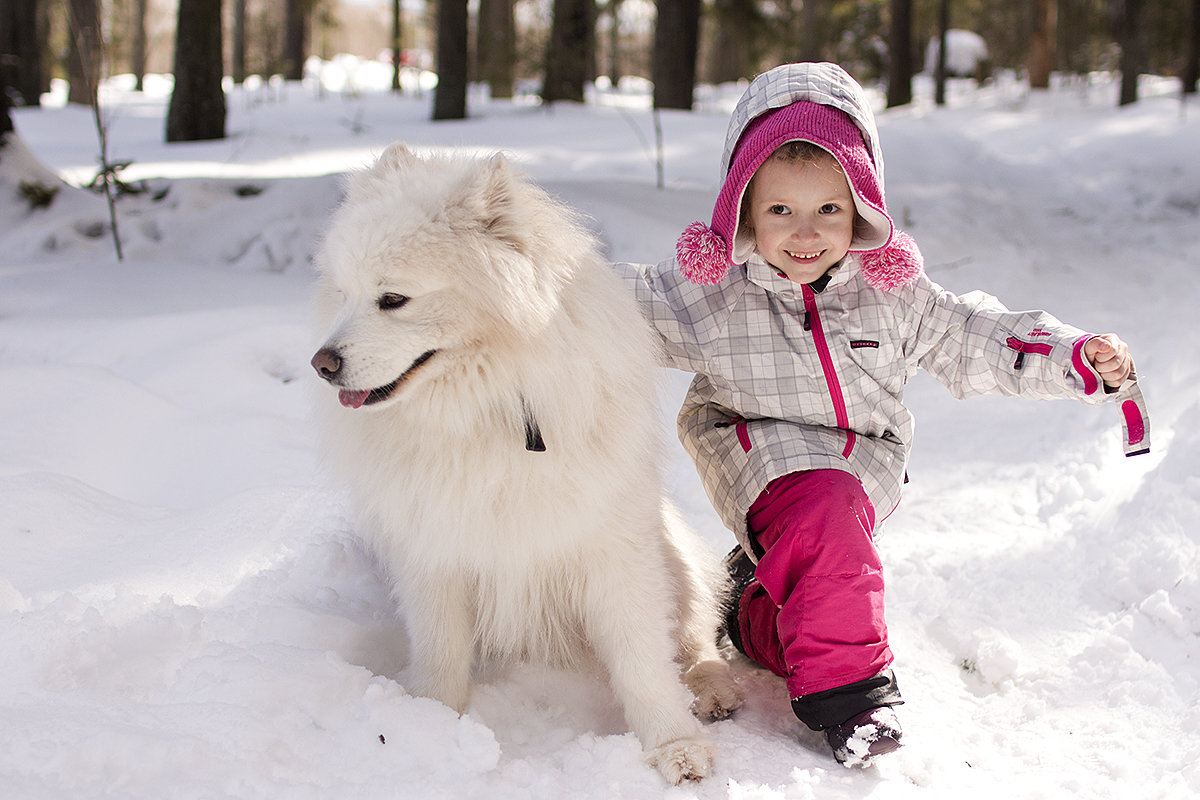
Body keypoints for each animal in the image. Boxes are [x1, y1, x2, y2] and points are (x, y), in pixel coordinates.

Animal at [309, 143, 739, 782]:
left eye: (394, 299)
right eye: (343, 294)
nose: (322, 363)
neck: (481, 409)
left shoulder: (614, 548)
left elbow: (642, 657)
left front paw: (674, 746)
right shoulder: (434, 550)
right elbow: (440, 649)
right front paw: (429, 727)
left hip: (677, 560)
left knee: (695, 638)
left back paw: (713, 691)